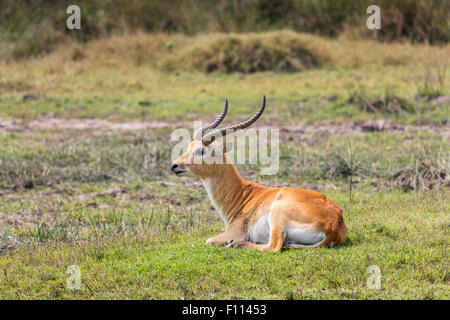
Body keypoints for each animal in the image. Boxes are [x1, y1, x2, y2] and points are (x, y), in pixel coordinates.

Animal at [171, 96, 346, 251]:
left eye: (201, 150)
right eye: (189, 146)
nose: (174, 166)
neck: (241, 196)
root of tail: (335, 225)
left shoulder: (234, 231)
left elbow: (208, 240)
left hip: (277, 217)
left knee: (273, 246)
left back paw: (235, 244)